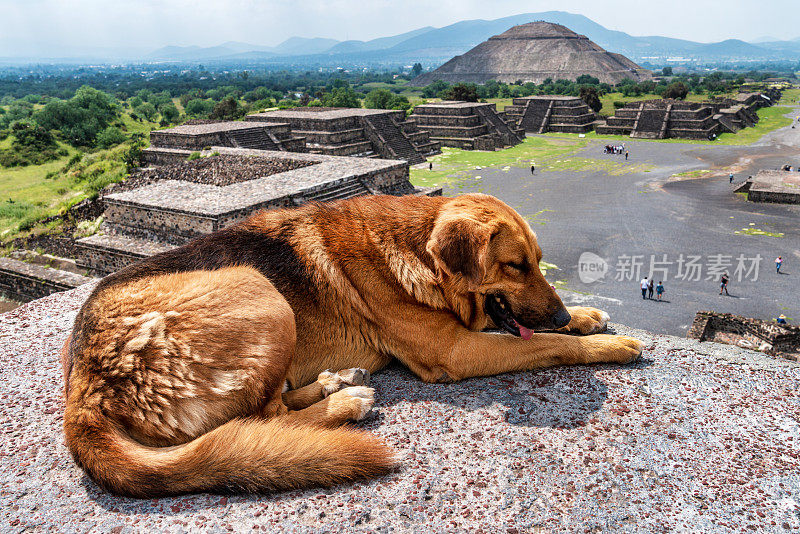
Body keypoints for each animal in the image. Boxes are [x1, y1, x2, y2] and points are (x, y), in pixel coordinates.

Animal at [62, 195, 640, 500]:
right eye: (515, 266)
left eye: (538, 262)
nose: (561, 313)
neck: (417, 251)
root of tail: (84, 388)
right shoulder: (456, 351)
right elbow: (545, 345)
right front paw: (608, 345)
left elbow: (541, 335)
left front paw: (586, 317)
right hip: (259, 291)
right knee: (266, 418)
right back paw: (344, 402)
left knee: (270, 407)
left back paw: (335, 382)